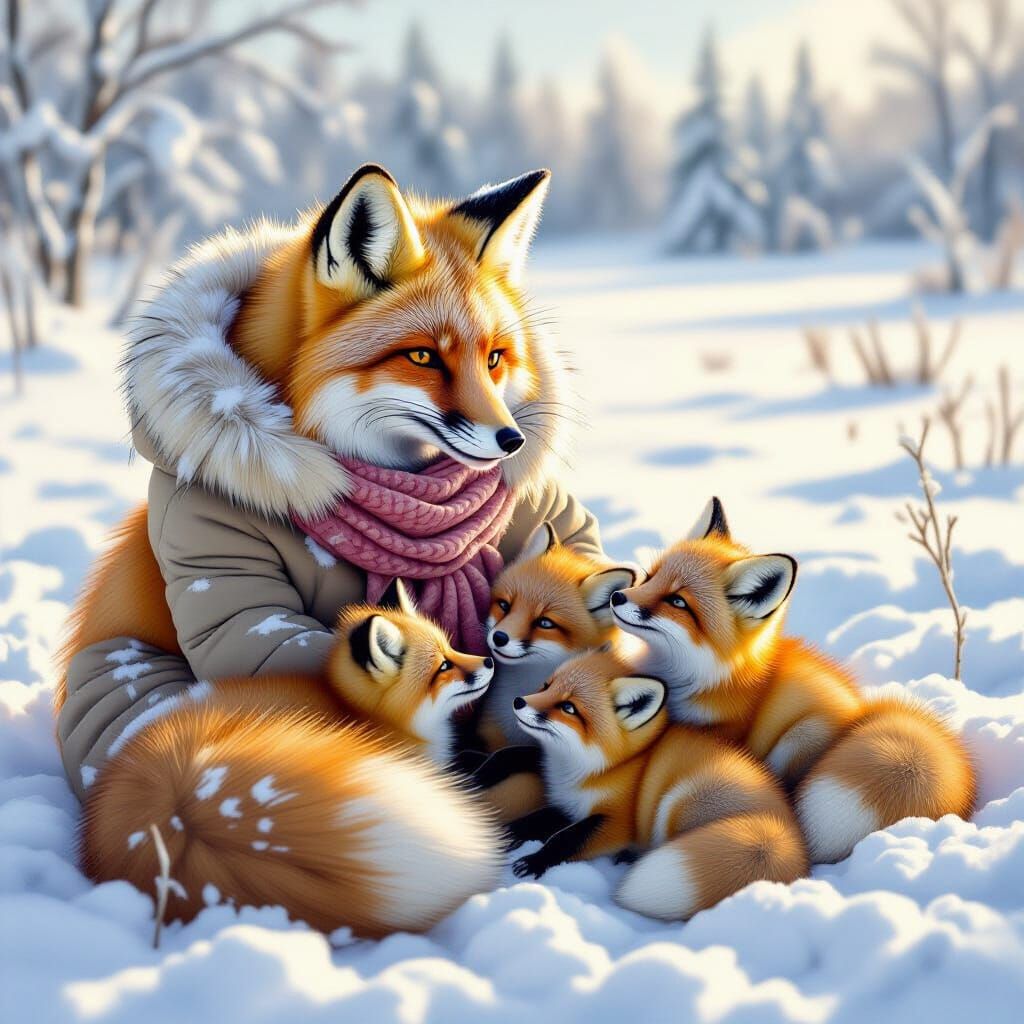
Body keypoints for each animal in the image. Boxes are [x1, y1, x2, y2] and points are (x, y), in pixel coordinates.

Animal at [505, 649, 809, 921]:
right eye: (546, 686)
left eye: (568, 708)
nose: (518, 701)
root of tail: (784, 832)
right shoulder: (571, 806)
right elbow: (534, 820)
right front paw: (506, 833)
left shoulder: (616, 822)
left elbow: (566, 838)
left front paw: (535, 861)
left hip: (676, 802)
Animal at [609, 497, 977, 863]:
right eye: (650, 578)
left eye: (677, 601)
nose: (618, 597)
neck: (695, 678)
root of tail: (862, 716)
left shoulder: (721, 732)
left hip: (798, 739)